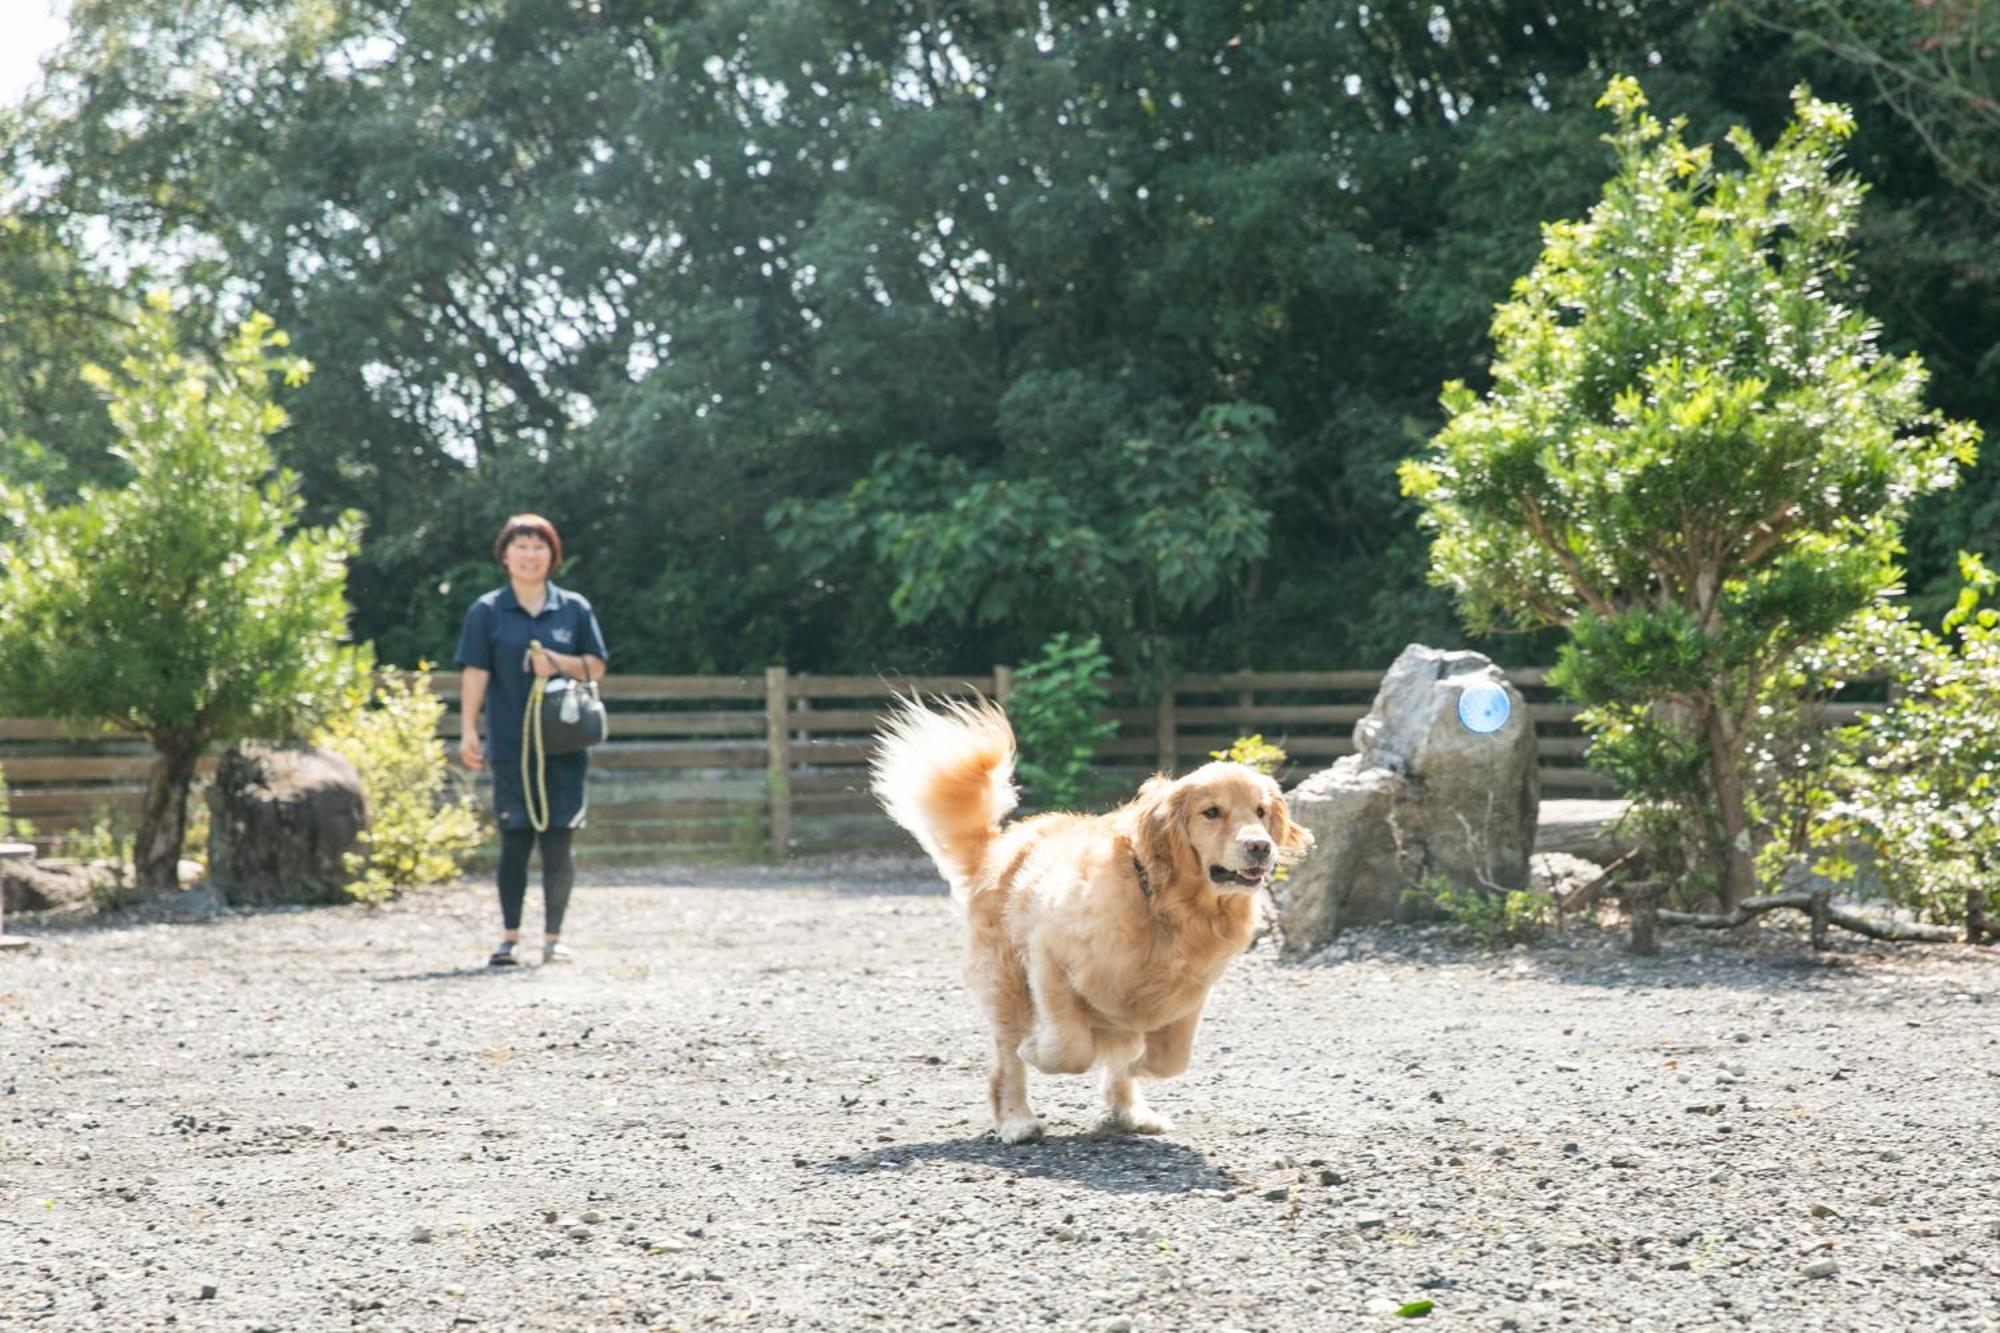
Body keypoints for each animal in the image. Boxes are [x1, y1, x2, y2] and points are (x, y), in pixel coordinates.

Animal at [872, 688, 1312, 1136]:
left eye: (1260, 811)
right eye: (1212, 812)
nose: (1260, 846)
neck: (1164, 905)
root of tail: (998, 846)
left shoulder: (1188, 993)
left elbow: (1170, 1058)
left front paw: (1138, 1069)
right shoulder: (1051, 963)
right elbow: (1069, 1048)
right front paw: (1037, 1051)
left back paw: (1133, 1112)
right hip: (1006, 981)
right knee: (1008, 1061)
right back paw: (1017, 1120)